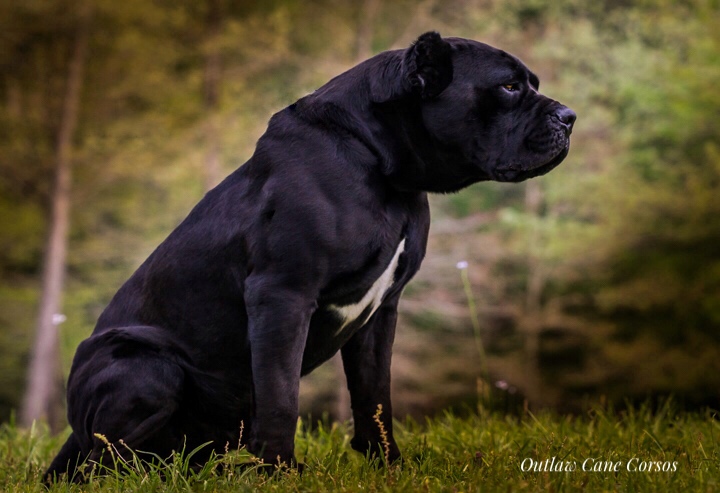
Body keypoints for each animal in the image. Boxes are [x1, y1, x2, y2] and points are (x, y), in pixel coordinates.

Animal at [43, 31, 572, 480]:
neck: (382, 168)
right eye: (508, 87)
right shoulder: (283, 294)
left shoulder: (382, 311)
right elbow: (282, 395)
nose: (569, 116)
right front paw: (279, 473)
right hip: (148, 367)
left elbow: (374, 396)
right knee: (102, 462)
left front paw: (388, 464)